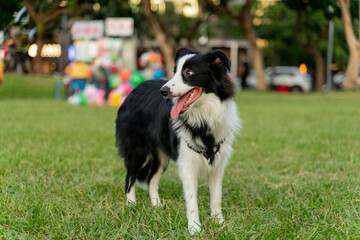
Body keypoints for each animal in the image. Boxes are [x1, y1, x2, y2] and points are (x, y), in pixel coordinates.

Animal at [115, 47, 240, 234]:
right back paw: (131, 205)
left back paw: (157, 206)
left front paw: (219, 223)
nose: (163, 91)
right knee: (130, 176)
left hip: (161, 156)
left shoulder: (218, 162)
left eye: (188, 72)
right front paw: (194, 228)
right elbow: (191, 198)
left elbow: (217, 196)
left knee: (152, 179)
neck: (204, 117)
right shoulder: (187, 162)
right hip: (137, 149)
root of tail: (135, 89)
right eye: (174, 72)